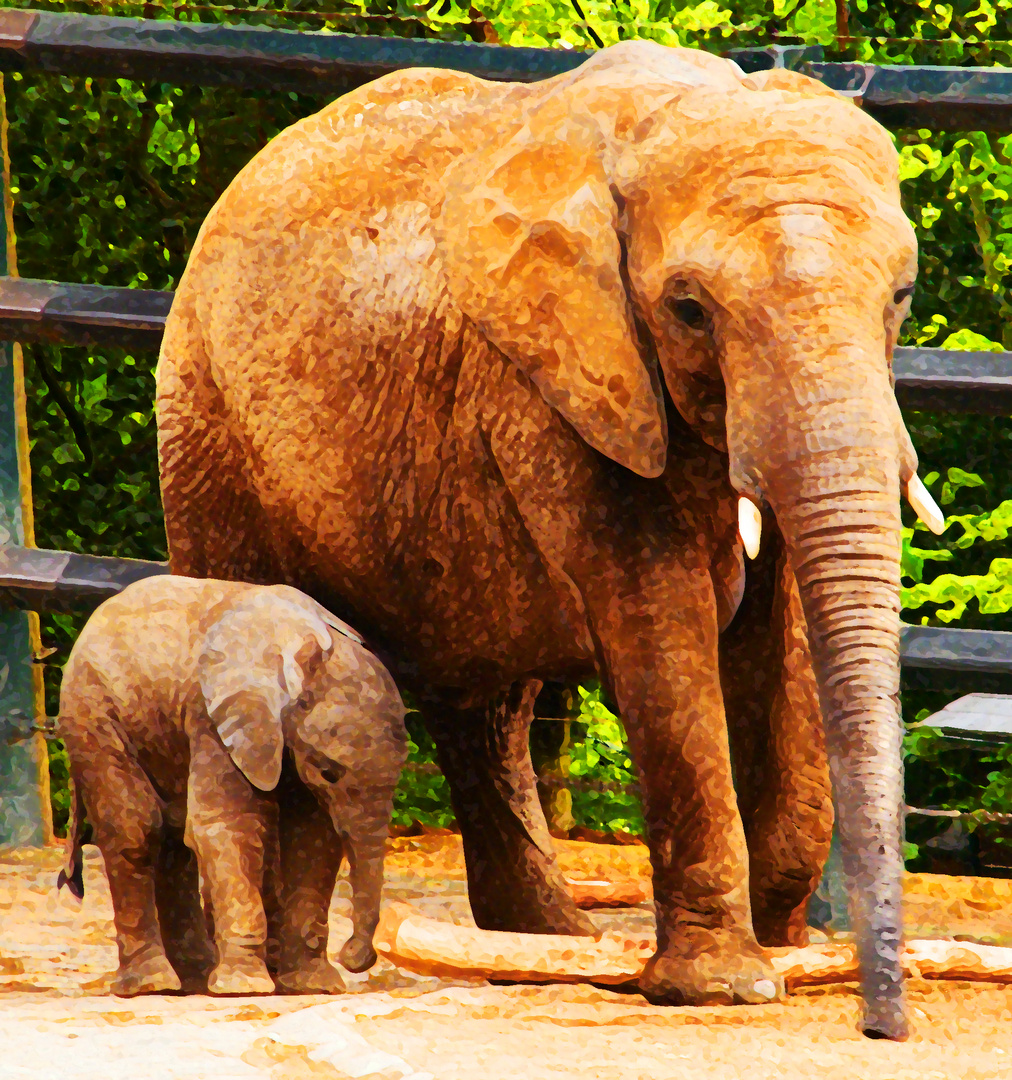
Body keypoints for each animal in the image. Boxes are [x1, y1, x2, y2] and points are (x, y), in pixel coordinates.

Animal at [57, 574, 406, 993]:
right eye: (329, 771)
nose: (354, 956)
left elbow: (313, 839)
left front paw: (314, 985)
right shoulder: (212, 714)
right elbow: (229, 824)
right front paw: (245, 987)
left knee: (173, 838)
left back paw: (193, 979)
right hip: (92, 711)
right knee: (136, 830)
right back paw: (153, 984)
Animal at [154, 42, 941, 1036]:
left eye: (902, 294)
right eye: (688, 309)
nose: (883, 1025)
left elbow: (787, 628)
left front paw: (790, 950)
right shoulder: (555, 384)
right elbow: (659, 620)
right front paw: (727, 984)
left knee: (483, 705)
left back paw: (542, 943)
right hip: (205, 421)